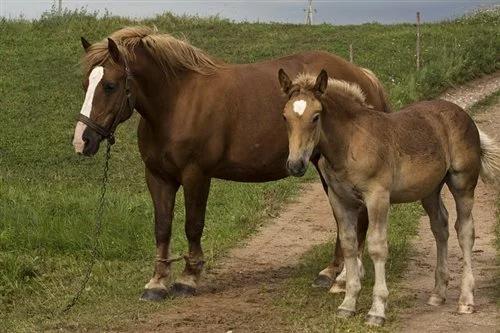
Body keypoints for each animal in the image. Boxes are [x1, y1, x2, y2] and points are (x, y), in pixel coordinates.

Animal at [71, 27, 390, 300]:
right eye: (86, 83)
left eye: (110, 86)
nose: (82, 141)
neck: (178, 102)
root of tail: (362, 77)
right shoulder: (158, 177)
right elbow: (162, 227)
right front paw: (157, 282)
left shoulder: (196, 175)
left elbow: (193, 225)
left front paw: (188, 278)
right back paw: (333, 272)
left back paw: (343, 276)